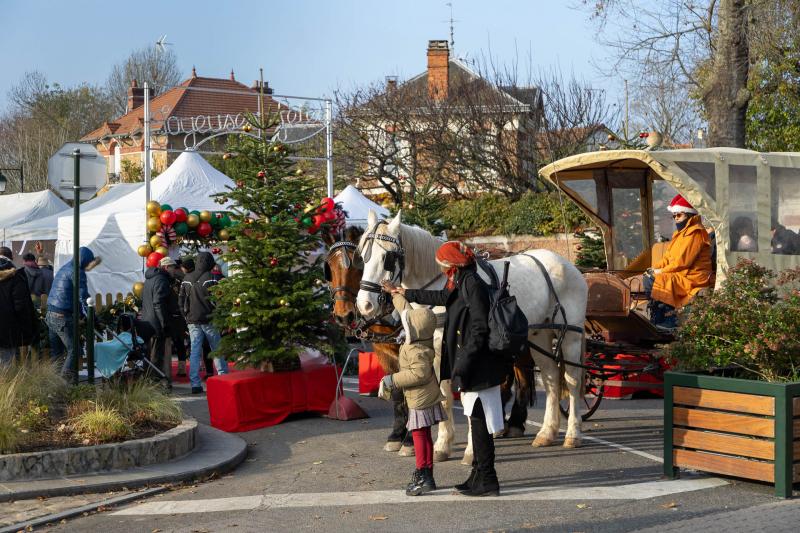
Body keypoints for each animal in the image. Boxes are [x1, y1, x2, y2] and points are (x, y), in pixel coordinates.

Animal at [356, 210, 588, 450]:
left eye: (387, 258)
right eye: (363, 255)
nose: (365, 305)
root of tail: (568, 265)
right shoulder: (436, 351)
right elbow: (443, 395)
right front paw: (442, 443)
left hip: (570, 336)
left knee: (572, 379)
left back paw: (572, 433)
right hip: (540, 335)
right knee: (551, 377)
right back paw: (547, 432)